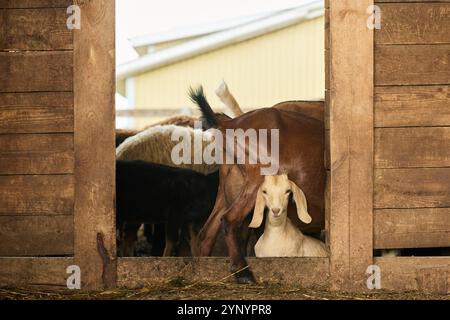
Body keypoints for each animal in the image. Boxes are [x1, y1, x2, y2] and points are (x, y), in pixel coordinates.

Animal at [192, 87, 326, 282]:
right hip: (256, 182)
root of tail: (229, 124)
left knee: (207, 232)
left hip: (228, 188)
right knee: (229, 219)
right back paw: (243, 272)